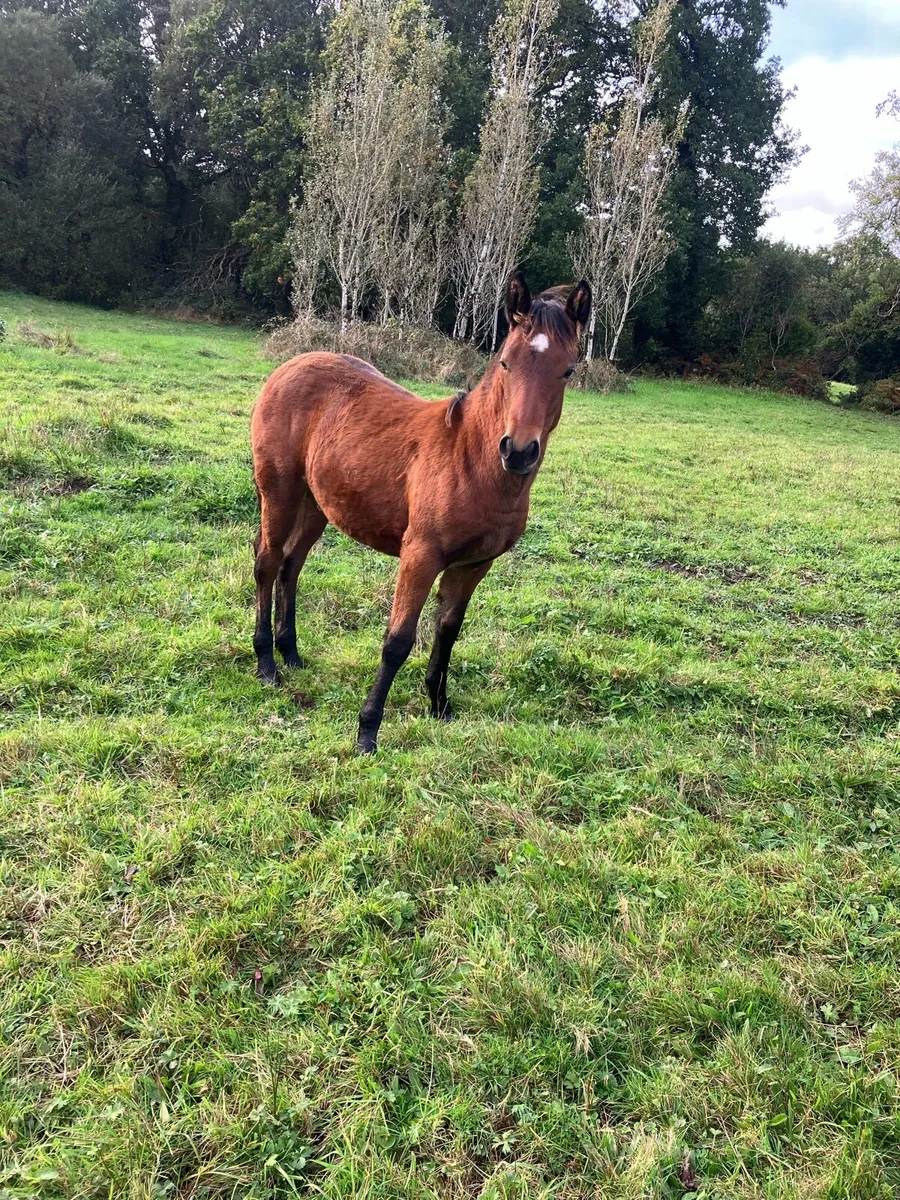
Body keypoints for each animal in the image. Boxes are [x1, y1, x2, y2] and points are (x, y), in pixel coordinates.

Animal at [250, 271, 591, 754]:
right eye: (506, 363)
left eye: (568, 370)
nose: (519, 451)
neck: (470, 459)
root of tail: (290, 365)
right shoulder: (420, 555)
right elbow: (398, 640)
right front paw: (367, 732)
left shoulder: (474, 565)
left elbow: (447, 632)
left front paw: (439, 706)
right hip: (279, 490)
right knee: (267, 561)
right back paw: (267, 664)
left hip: (319, 503)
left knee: (291, 565)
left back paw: (291, 653)